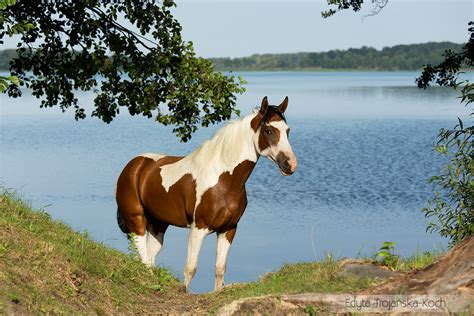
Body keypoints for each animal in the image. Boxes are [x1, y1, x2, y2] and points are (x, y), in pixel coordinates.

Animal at [115, 96, 296, 292]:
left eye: (287, 130)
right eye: (269, 130)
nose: (290, 164)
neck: (223, 181)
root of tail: (134, 165)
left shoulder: (228, 230)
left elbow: (220, 269)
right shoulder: (198, 229)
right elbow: (190, 268)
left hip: (158, 224)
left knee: (150, 256)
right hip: (137, 221)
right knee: (142, 257)